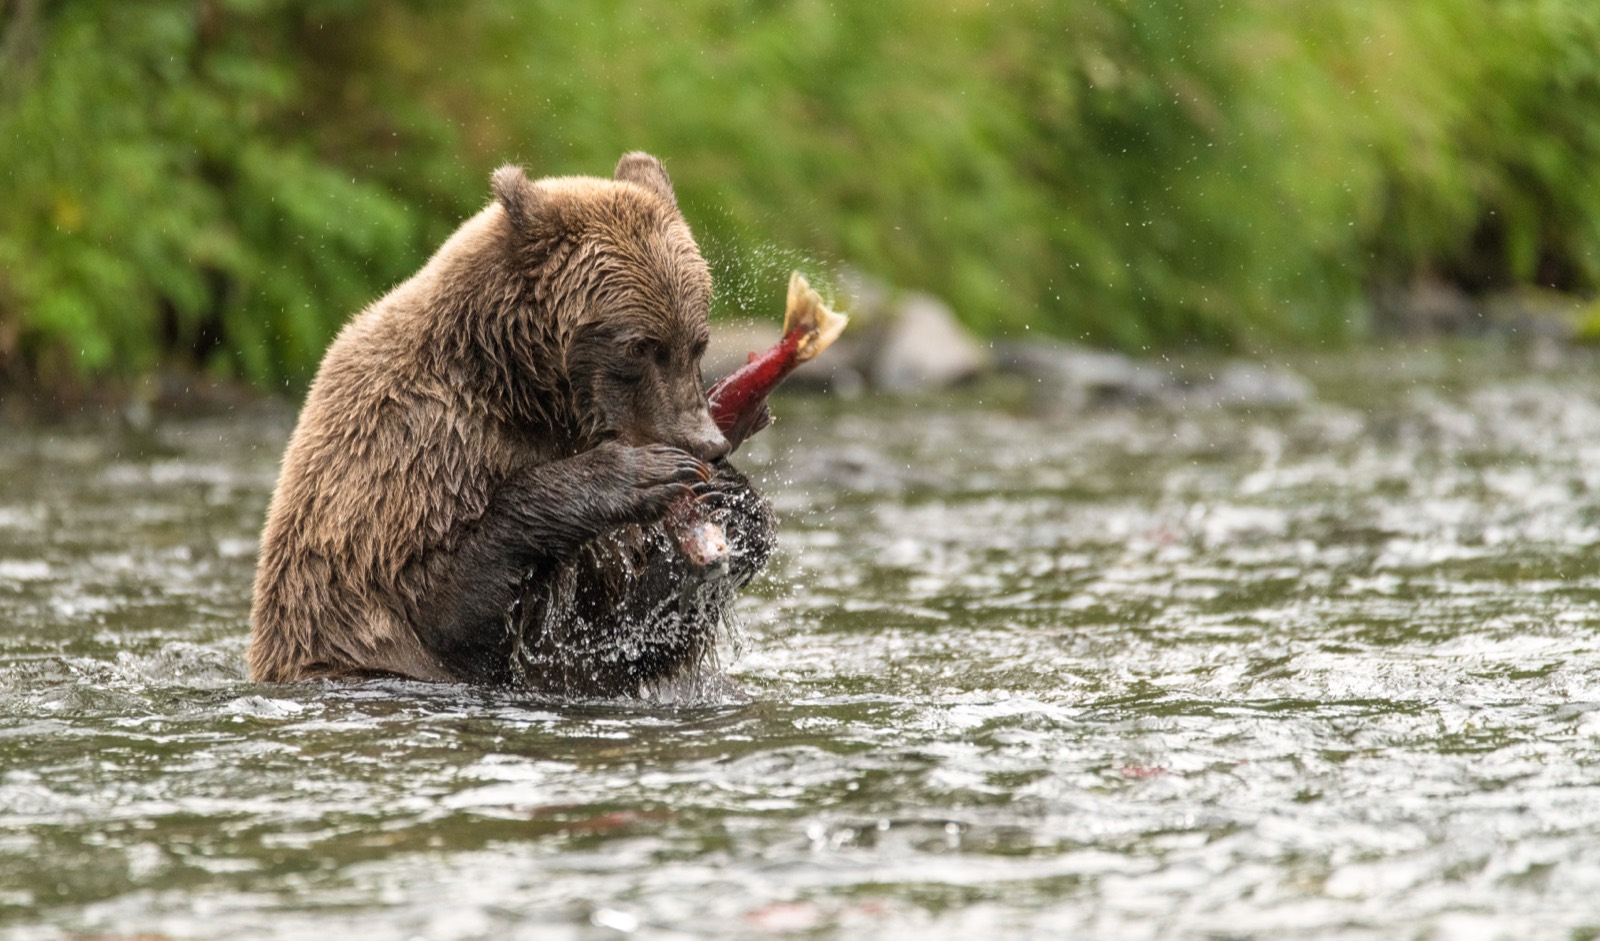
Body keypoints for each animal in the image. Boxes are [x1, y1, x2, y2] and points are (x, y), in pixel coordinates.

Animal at [248, 152, 776, 696]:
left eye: (697, 341)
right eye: (639, 346)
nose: (707, 444)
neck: (520, 386)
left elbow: (608, 635)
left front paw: (736, 505)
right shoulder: (414, 455)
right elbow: (447, 606)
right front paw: (640, 475)